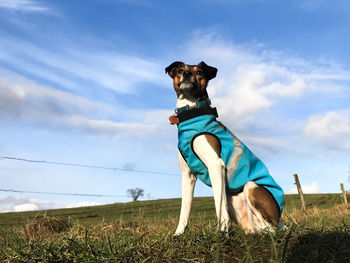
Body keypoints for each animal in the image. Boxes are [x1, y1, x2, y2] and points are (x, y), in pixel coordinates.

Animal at [165, 61, 284, 235]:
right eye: (180, 70)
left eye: (199, 72)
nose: (186, 74)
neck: (192, 114)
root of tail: (279, 219)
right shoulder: (187, 175)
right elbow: (184, 211)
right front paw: (178, 234)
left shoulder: (215, 165)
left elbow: (219, 207)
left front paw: (221, 233)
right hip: (233, 199)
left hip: (251, 187)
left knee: (271, 228)